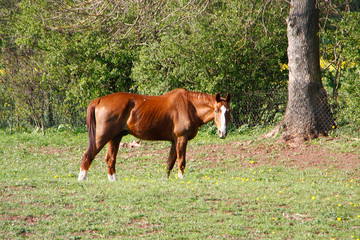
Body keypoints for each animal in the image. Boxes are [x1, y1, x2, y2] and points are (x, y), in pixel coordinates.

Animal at [77, 89, 232, 181]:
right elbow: (181, 161)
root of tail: (99, 100)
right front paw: (181, 179)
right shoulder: (182, 139)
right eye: (217, 110)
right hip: (102, 137)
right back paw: (82, 179)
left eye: (228, 111)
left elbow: (170, 162)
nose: (222, 133)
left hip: (115, 137)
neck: (189, 106)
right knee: (88, 155)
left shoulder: (174, 141)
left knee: (110, 160)